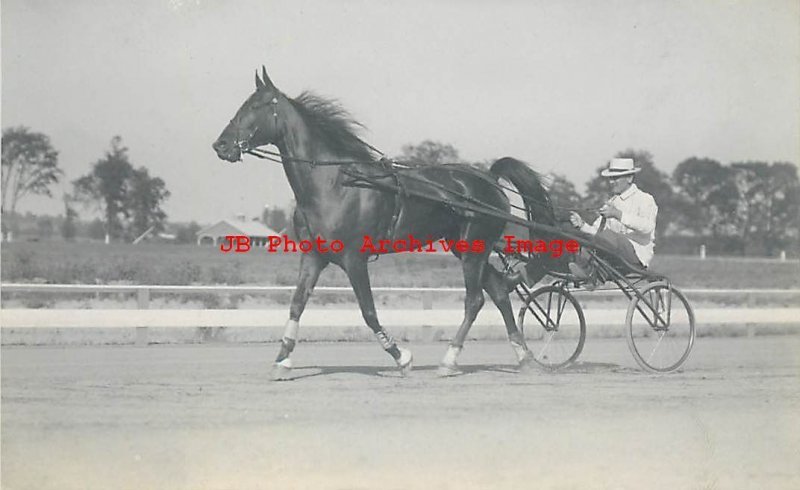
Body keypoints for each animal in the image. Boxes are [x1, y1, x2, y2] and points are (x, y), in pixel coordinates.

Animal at [212, 66, 556, 378]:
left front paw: (402, 357)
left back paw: (449, 361)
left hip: (474, 248)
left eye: (256, 106)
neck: (333, 184)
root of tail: (488, 178)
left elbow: (368, 312)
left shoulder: (354, 259)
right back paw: (523, 357)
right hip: (465, 248)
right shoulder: (313, 256)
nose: (221, 145)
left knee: (474, 300)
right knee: (498, 291)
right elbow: (296, 304)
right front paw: (282, 360)